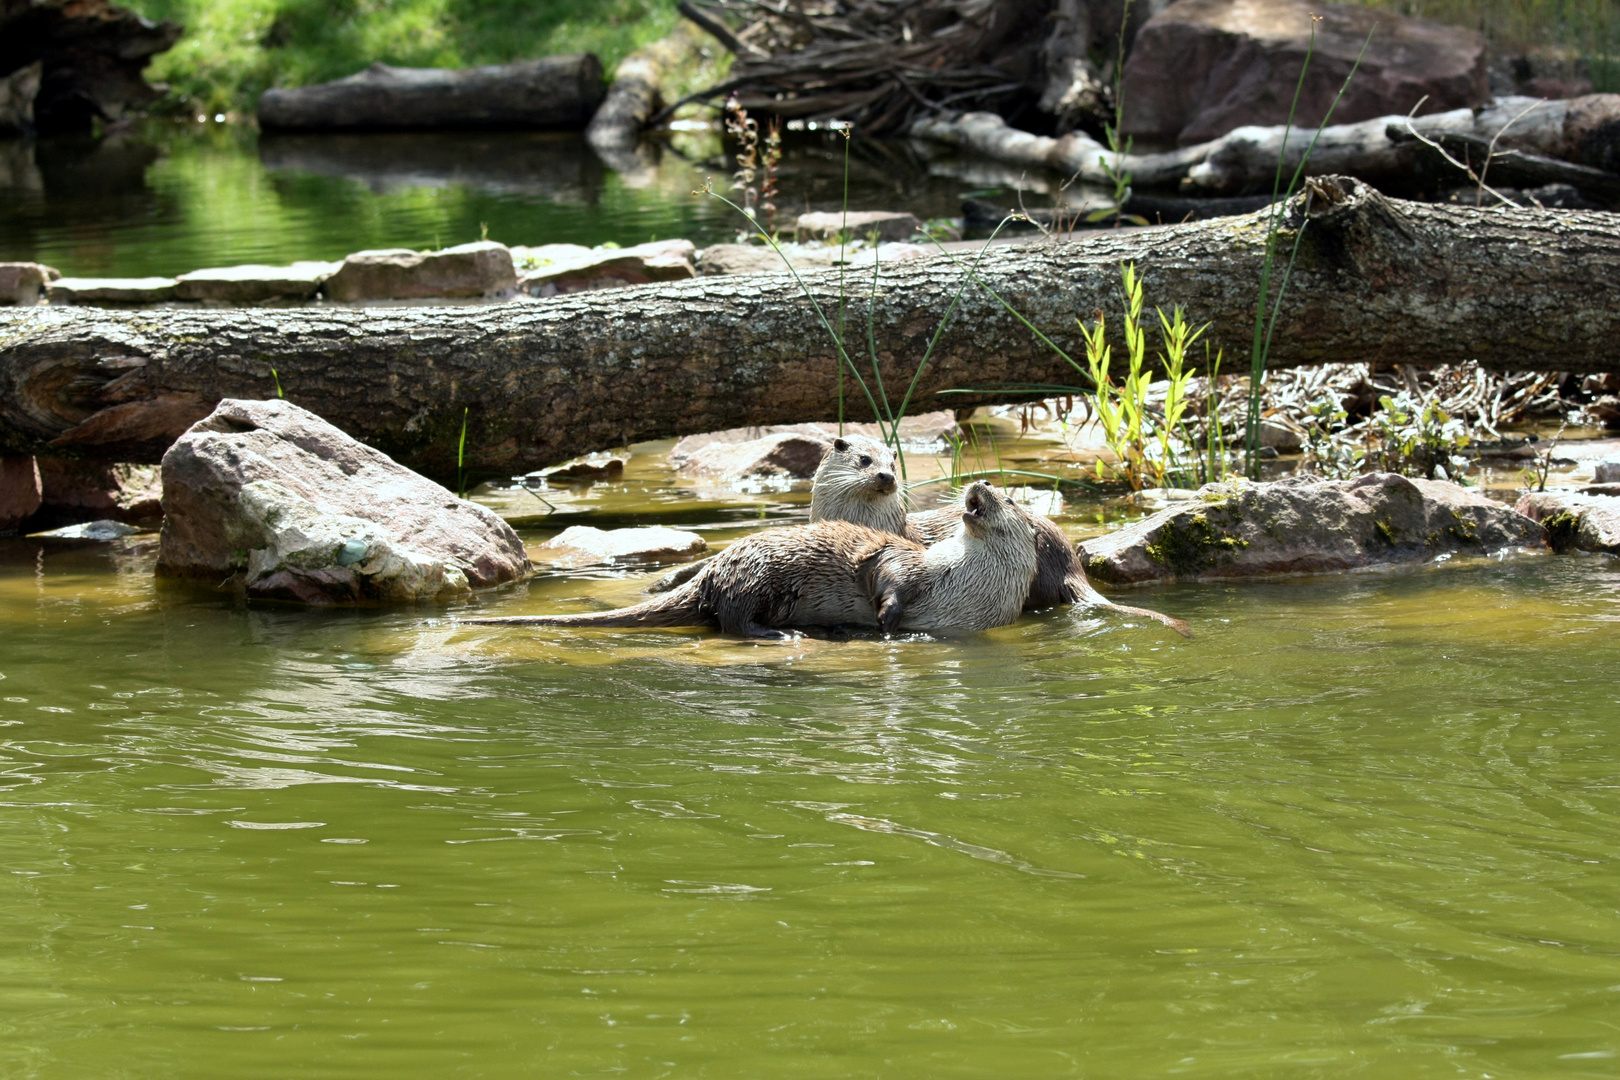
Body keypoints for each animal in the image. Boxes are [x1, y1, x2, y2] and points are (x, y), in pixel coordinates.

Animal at [460, 482, 1036, 641]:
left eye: (1008, 498)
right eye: (992, 485)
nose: (979, 485)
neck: (956, 586)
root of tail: (716, 568)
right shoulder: (907, 562)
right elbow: (887, 572)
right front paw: (887, 622)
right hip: (760, 573)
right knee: (734, 619)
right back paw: (781, 634)